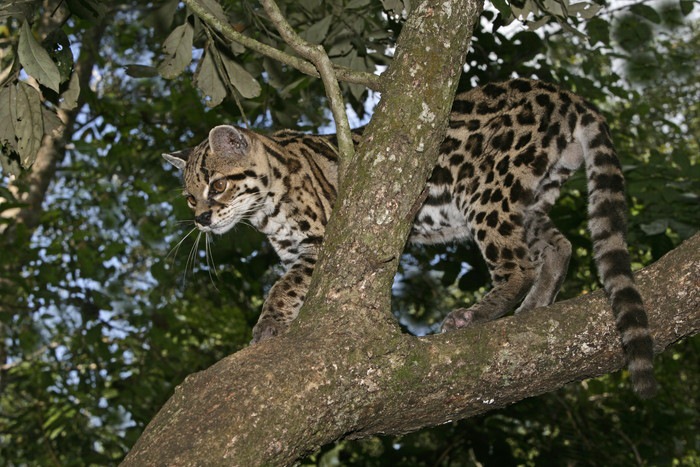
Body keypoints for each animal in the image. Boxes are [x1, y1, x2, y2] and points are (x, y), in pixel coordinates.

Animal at [163, 77, 656, 398]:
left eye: (217, 185)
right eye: (188, 196)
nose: (202, 219)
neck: (264, 211)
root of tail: (565, 94)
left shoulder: (320, 242)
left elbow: (283, 286)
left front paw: (267, 325)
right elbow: (293, 288)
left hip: (485, 187)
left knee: (517, 265)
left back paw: (477, 315)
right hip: (529, 197)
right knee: (559, 246)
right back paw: (533, 306)